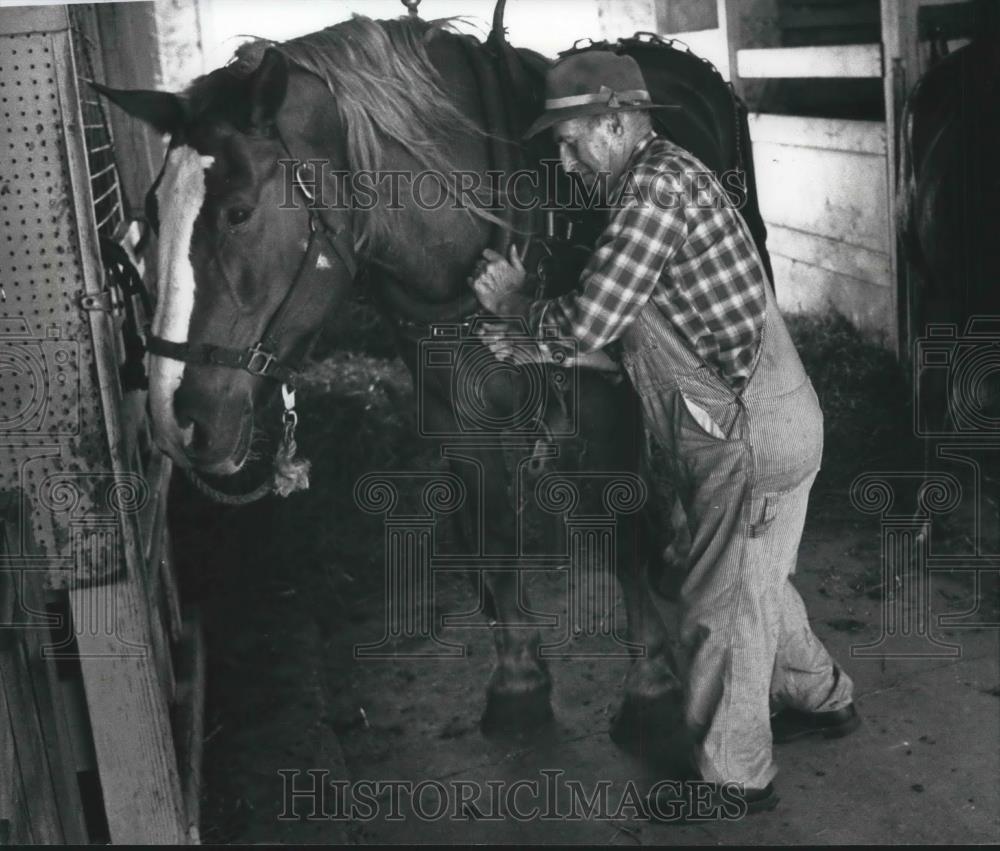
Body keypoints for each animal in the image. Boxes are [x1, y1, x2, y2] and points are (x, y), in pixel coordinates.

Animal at [95, 11, 756, 744]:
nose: (175, 417)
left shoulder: (607, 406)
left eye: (238, 211)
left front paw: (650, 686)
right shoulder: (454, 417)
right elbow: (491, 531)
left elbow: (620, 528)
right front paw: (519, 680)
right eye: (154, 213)